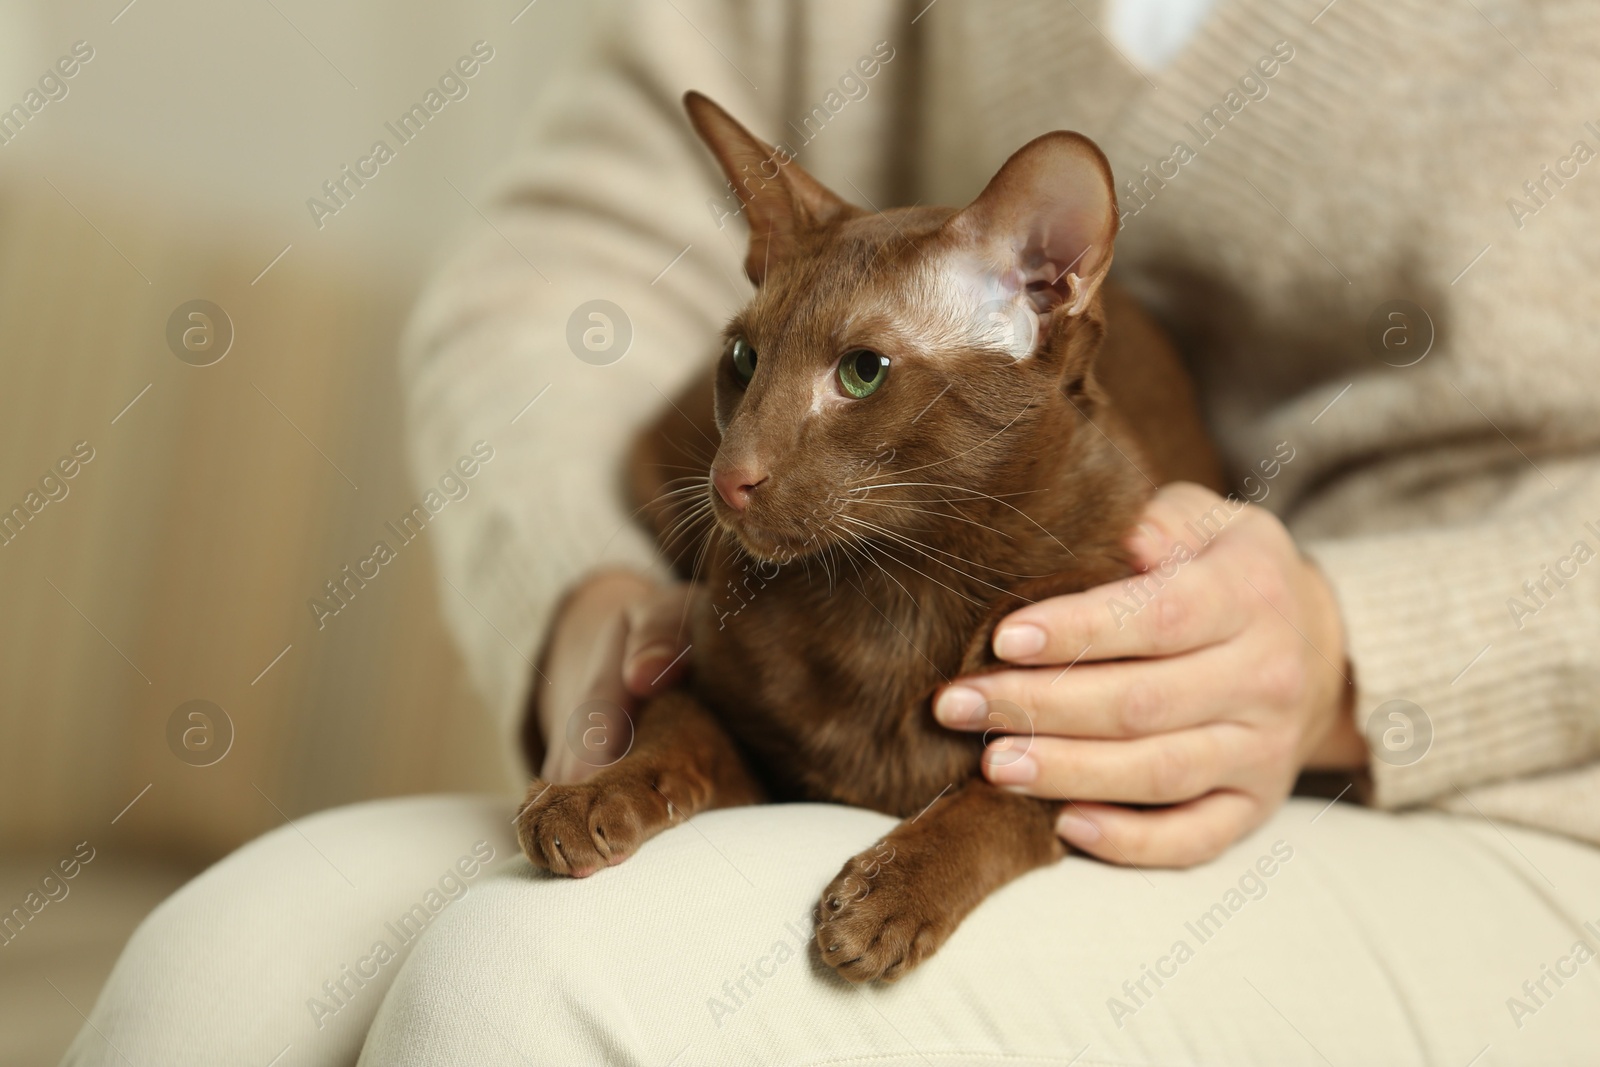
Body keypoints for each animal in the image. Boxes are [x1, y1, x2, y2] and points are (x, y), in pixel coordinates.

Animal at [518, 91, 1216, 985]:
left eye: (862, 372)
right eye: (743, 358)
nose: (728, 477)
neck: (897, 588)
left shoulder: (1087, 764)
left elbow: (992, 804)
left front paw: (888, 898)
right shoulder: (746, 735)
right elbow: (673, 729)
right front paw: (587, 796)